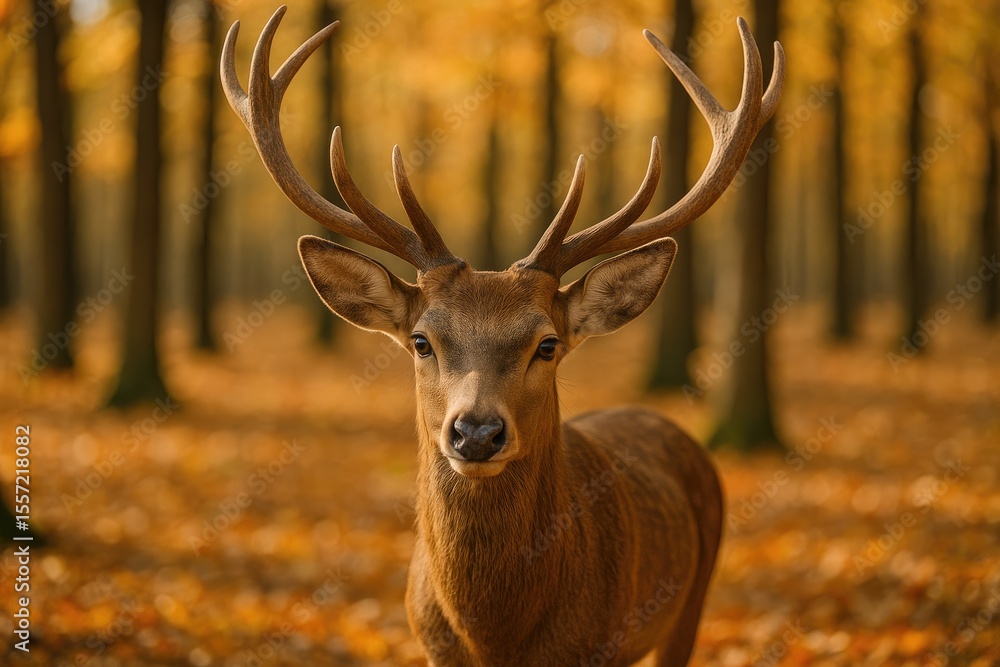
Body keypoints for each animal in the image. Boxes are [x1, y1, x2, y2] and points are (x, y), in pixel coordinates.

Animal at [221, 6, 783, 666]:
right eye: (421, 341)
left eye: (548, 344)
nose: (476, 432)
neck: (495, 637)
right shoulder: (430, 645)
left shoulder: (604, 643)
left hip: (692, 597)